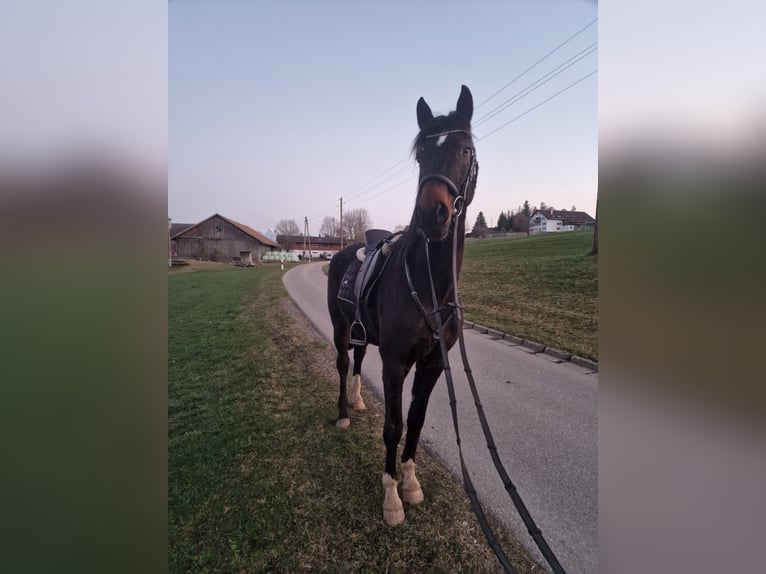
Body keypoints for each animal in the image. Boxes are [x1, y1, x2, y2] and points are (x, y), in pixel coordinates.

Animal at [326, 85, 478, 526]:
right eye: (420, 155)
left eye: (465, 149)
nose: (432, 213)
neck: (430, 289)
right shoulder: (395, 362)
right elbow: (393, 425)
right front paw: (392, 496)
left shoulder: (432, 364)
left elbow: (416, 419)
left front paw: (410, 483)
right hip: (340, 327)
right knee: (343, 363)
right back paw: (344, 412)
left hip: (362, 333)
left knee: (358, 360)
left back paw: (359, 399)